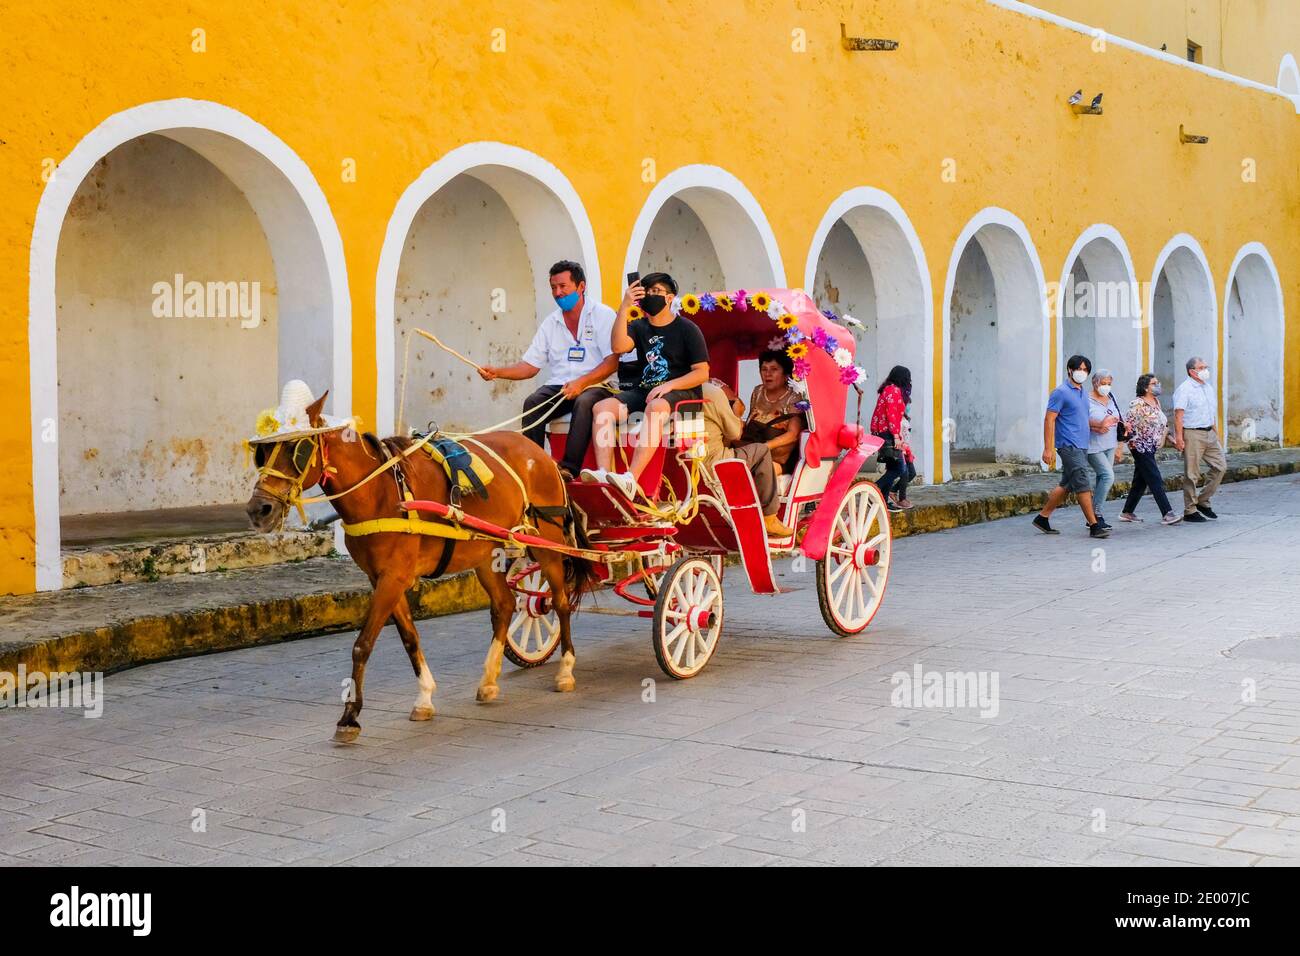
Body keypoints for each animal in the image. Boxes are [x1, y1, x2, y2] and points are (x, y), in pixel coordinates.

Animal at [245, 392, 595, 743]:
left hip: (547, 544)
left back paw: (565, 670)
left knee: (559, 603)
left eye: (297, 448)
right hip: (486, 553)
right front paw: (424, 698)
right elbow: (409, 637)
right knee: (505, 605)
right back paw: (488, 681)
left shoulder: (393, 578)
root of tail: (541, 454)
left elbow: (362, 645)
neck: (379, 492)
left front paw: (349, 717)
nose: (259, 510)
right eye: (261, 454)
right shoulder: (382, 578)